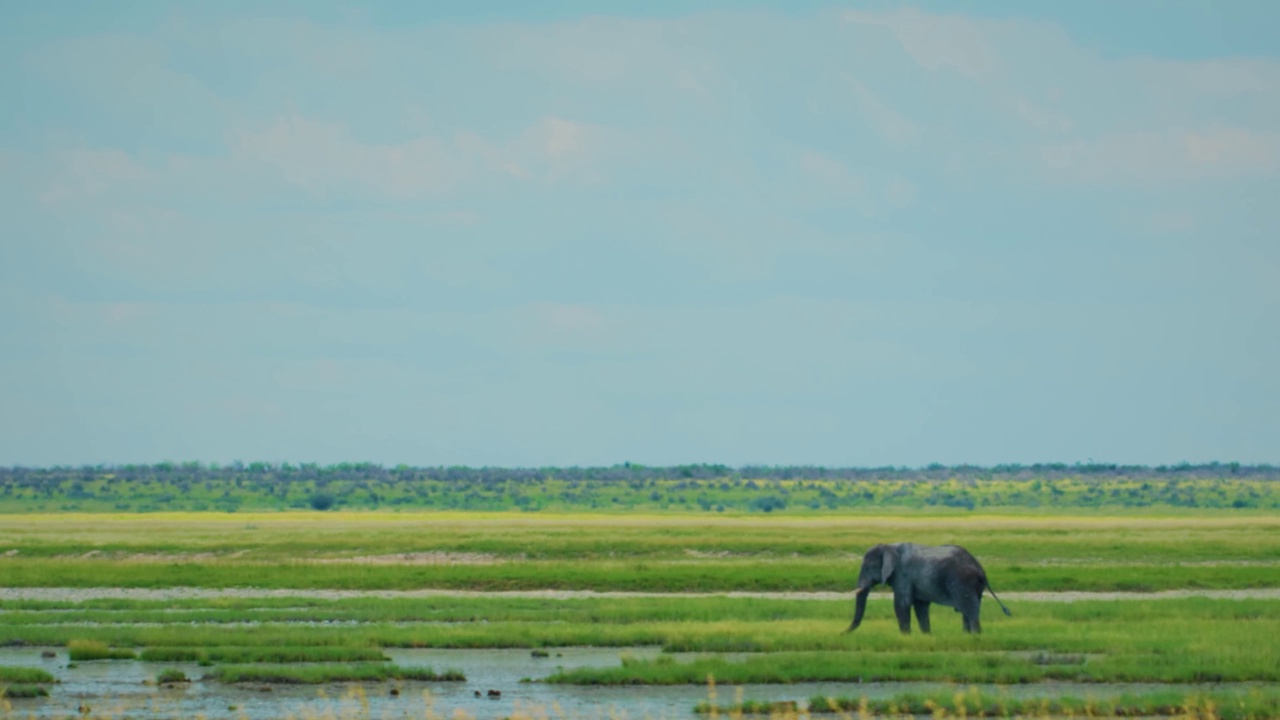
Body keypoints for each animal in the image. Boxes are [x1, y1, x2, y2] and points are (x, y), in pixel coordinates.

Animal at [839, 540, 1008, 630]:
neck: (890, 546)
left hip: (963, 582)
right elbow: (921, 608)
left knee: (970, 612)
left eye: (868, 568)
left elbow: (901, 605)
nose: (841, 634)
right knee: (968, 612)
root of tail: (980, 569)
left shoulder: (903, 575)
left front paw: (906, 638)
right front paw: (927, 636)